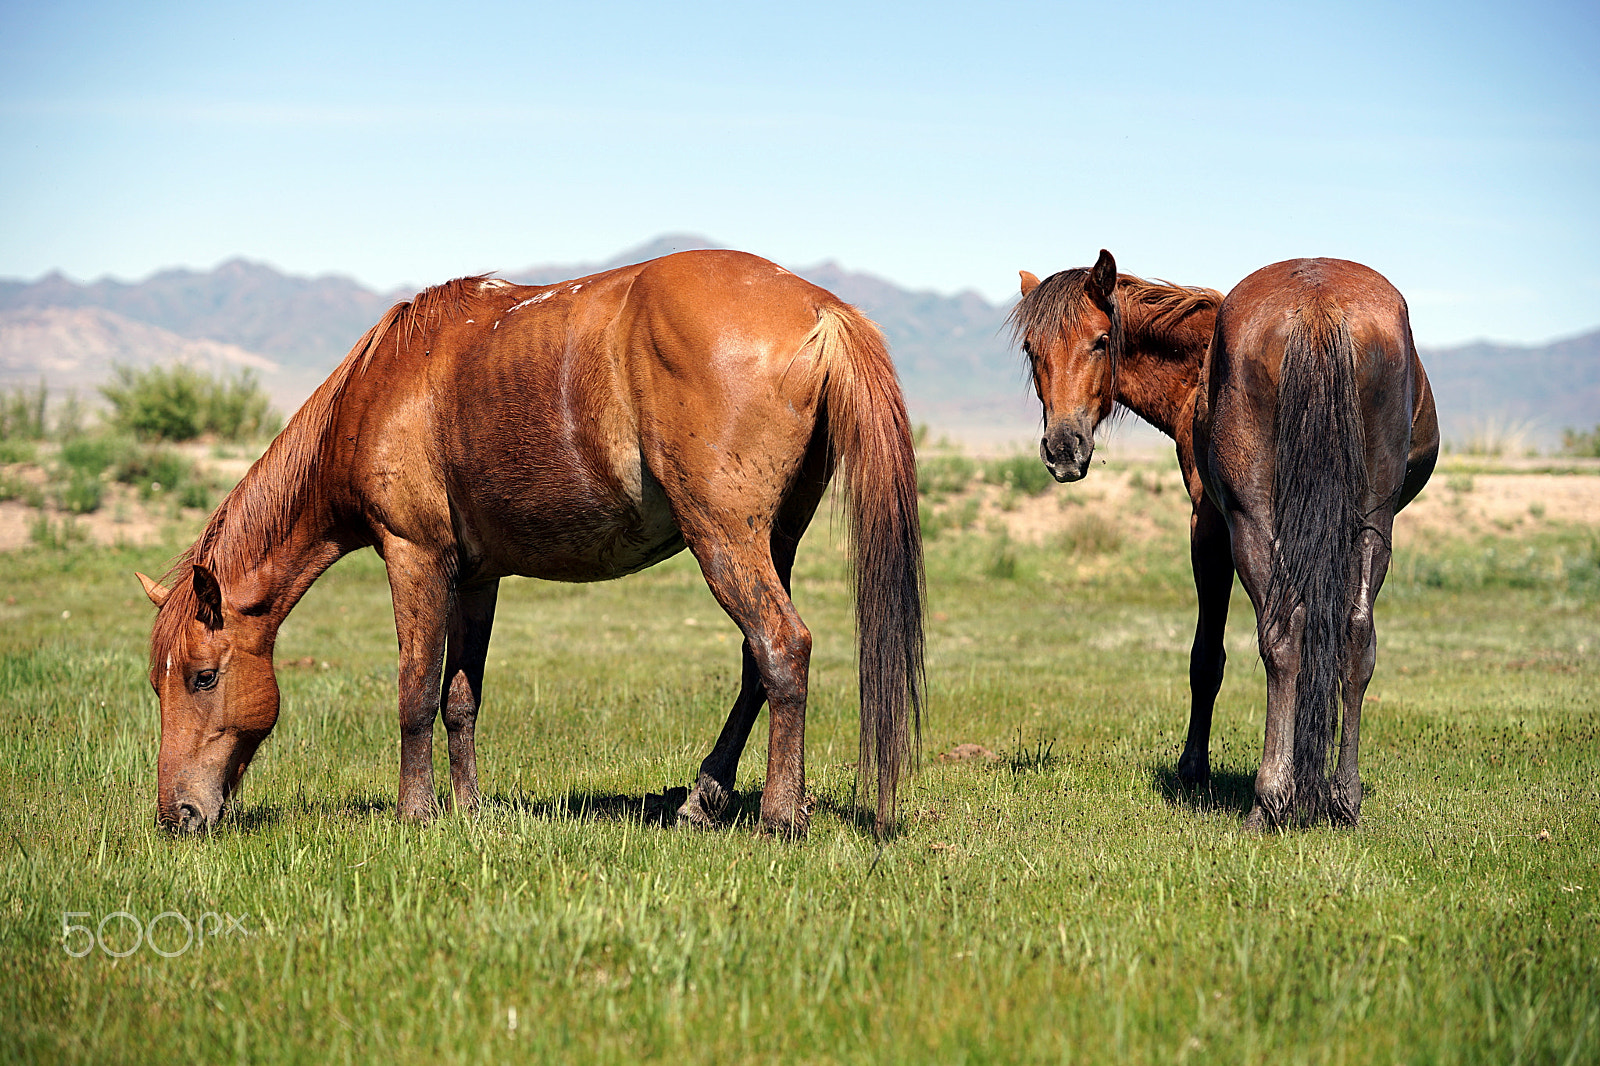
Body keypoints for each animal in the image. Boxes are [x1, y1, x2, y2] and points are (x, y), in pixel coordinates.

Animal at [137, 249, 928, 838]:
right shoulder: (474, 577)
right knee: (755, 665)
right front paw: (467, 808)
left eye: (203, 677)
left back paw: (779, 817)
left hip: (725, 540)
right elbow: (460, 697)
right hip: (773, 540)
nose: (178, 815)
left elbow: (415, 691)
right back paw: (704, 799)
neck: (381, 386)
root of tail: (818, 307)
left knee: (782, 648)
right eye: (157, 680)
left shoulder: (414, 555)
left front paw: (416, 814)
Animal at [1011, 252, 1440, 825]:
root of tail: (1319, 306)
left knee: (1281, 636)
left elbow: (1206, 658)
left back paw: (1270, 799)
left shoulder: (1208, 523)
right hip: (1372, 523)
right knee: (1355, 636)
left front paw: (1194, 768)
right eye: (1031, 349)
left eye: (1101, 340)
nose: (1063, 449)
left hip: (1252, 523)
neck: (1197, 366)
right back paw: (1342, 799)